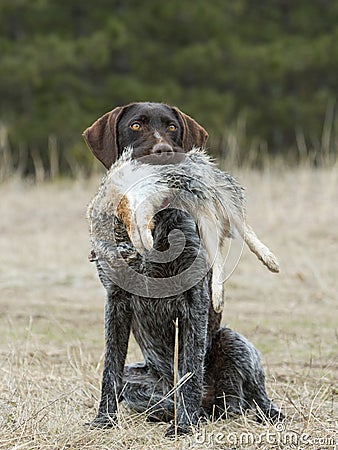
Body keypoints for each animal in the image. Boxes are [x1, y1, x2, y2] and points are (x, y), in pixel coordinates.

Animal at [83, 102, 284, 436]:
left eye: (172, 127)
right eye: (135, 125)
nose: (164, 152)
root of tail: (212, 405)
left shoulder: (194, 301)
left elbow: (190, 366)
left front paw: (184, 425)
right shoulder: (116, 302)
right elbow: (110, 368)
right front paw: (104, 419)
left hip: (233, 341)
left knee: (253, 397)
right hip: (135, 379)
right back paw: (166, 411)